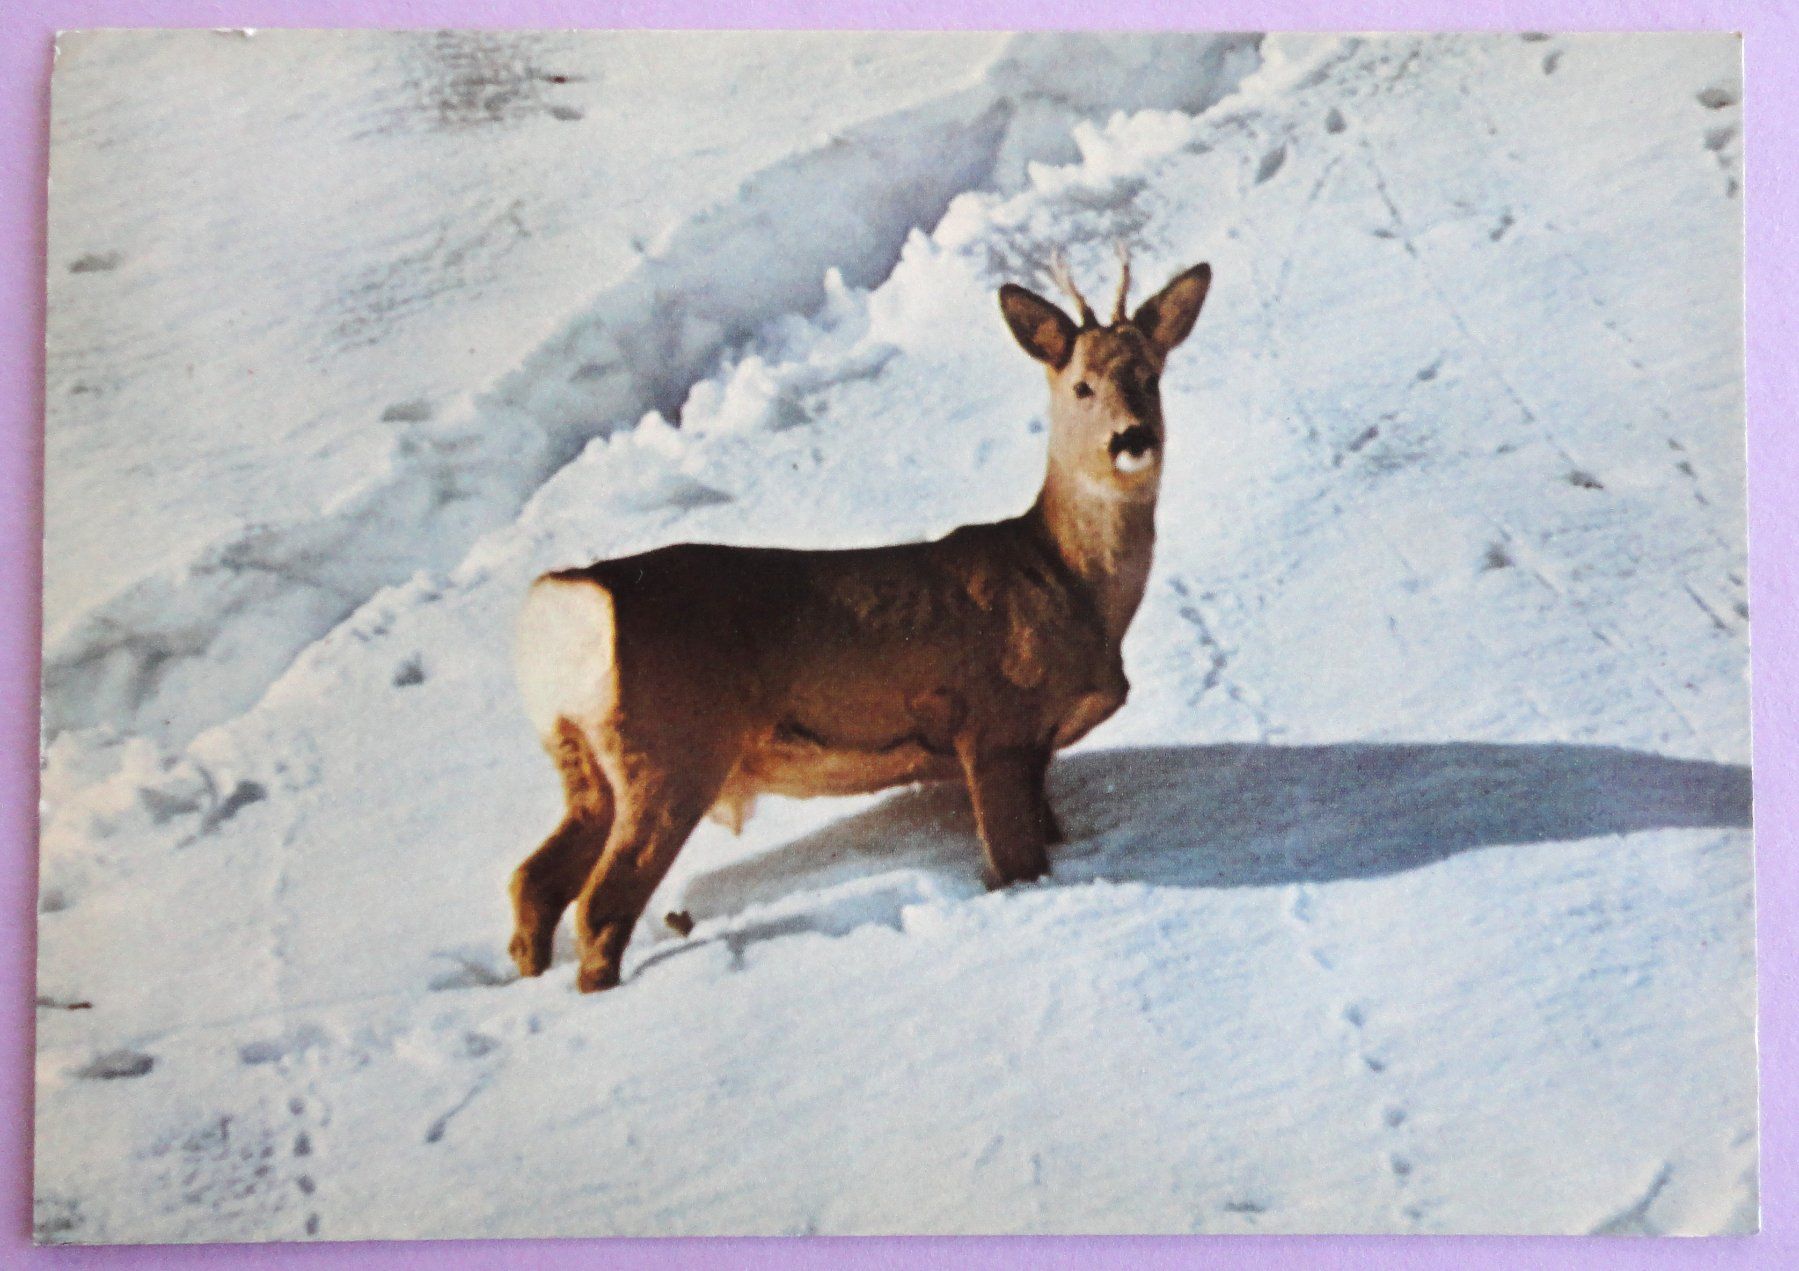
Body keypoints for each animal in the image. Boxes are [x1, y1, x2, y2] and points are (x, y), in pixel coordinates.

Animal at [509, 248, 1212, 993]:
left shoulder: (1035, 747)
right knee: (601, 901)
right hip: (672, 749)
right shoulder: (993, 724)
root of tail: (568, 601)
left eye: (1149, 375)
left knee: (535, 880)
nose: (1131, 438)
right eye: (1080, 386)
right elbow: (1015, 864)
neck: (1066, 579)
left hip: (585, 761)